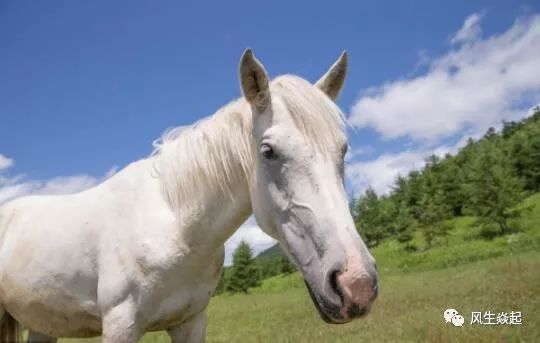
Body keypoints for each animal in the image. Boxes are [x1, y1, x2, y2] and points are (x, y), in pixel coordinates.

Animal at [0, 49, 378, 342]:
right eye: (268, 151)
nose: (356, 284)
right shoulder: (120, 325)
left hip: (42, 325)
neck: (174, 228)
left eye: (343, 150)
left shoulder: (190, 322)